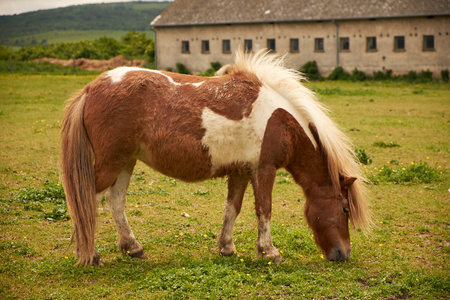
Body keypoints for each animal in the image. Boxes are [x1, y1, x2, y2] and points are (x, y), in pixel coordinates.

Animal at [59, 50, 370, 266]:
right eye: (344, 209)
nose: (343, 254)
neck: (279, 119)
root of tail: (90, 88)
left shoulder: (241, 171)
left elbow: (232, 208)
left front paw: (226, 248)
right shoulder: (264, 169)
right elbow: (264, 209)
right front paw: (269, 252)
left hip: (126, 161)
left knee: (116, 202)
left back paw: (133, 248)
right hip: (111, 162)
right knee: (87, 201)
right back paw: (91, 255)